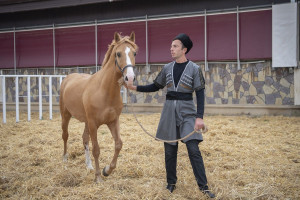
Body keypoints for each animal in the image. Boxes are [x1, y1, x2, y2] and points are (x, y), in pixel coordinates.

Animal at [59, 31, 138, 183]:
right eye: (118, 54)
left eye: (135, 53)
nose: (130, 78)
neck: (104, 90)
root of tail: (68, 78)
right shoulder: (93, 124)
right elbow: (96, 149)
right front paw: (98, 177)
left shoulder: (113, 121)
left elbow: (118, 144)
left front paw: (107, 170)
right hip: (66, 115)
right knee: (65, 135)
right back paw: (65, 159)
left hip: (86, 122)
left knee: (84, 139)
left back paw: (88, 165)